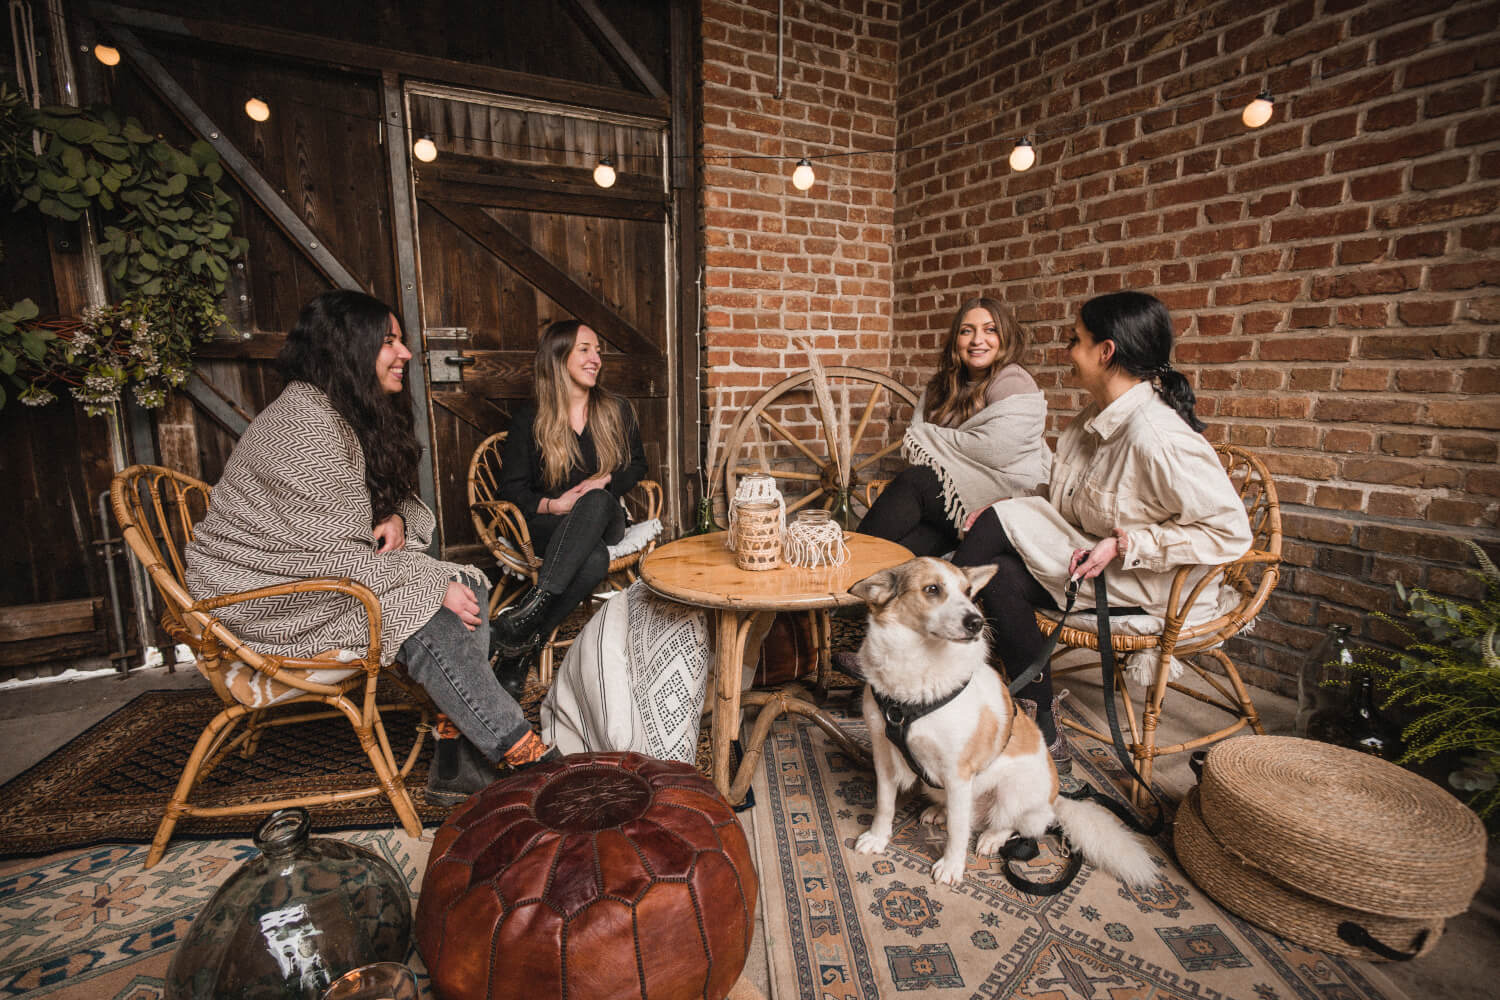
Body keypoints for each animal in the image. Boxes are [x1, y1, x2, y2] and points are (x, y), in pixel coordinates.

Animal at [852, 554, 1152, 893]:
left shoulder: (958, 772)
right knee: (964, 812)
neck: (917, 668)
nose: (977, 623)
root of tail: (1054, 801)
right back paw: (939, 811)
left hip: (1012, 788)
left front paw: (952, 866)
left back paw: (991, 839)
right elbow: (884, 803)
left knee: (1010, 825)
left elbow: (958, 830)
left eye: (968, 592)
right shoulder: (884, 754)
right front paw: (878, 838)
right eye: (932, 589)